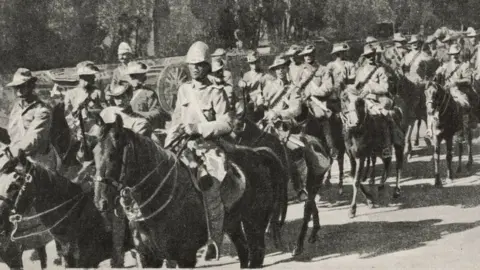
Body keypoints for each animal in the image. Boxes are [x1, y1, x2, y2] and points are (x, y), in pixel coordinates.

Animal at [94, 114, 288, 268]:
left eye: (113, 154)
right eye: (95, 153)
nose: (100, 201)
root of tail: (259, 153)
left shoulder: (185, 256)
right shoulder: (148, 257)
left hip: (254, 222)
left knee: (256, 253)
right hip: (233, 224)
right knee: (244, 252)